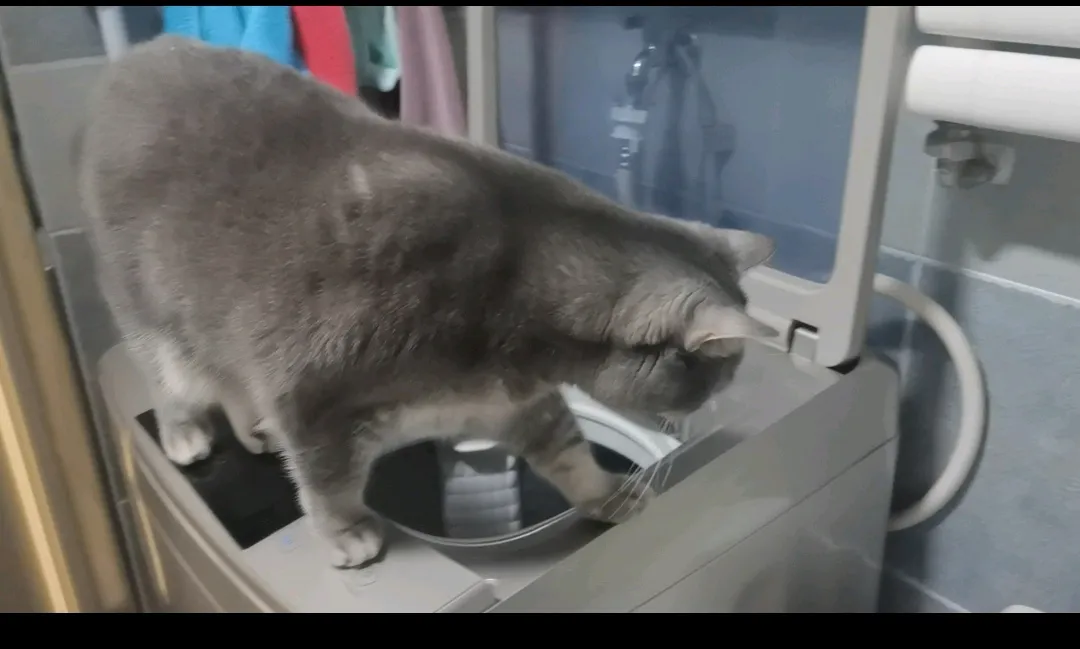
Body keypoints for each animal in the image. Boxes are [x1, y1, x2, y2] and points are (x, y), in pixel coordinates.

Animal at [78, 35, 777, 569]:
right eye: (712, 381)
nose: (702, 414)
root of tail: (130, 59)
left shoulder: (520, 407)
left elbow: (570, 454)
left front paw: (605, 493)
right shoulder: (311, 397)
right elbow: (329, 481)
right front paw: (345, 533)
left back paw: (252, 428)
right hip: (153, 317)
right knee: (172, 379)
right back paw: (187, 432)